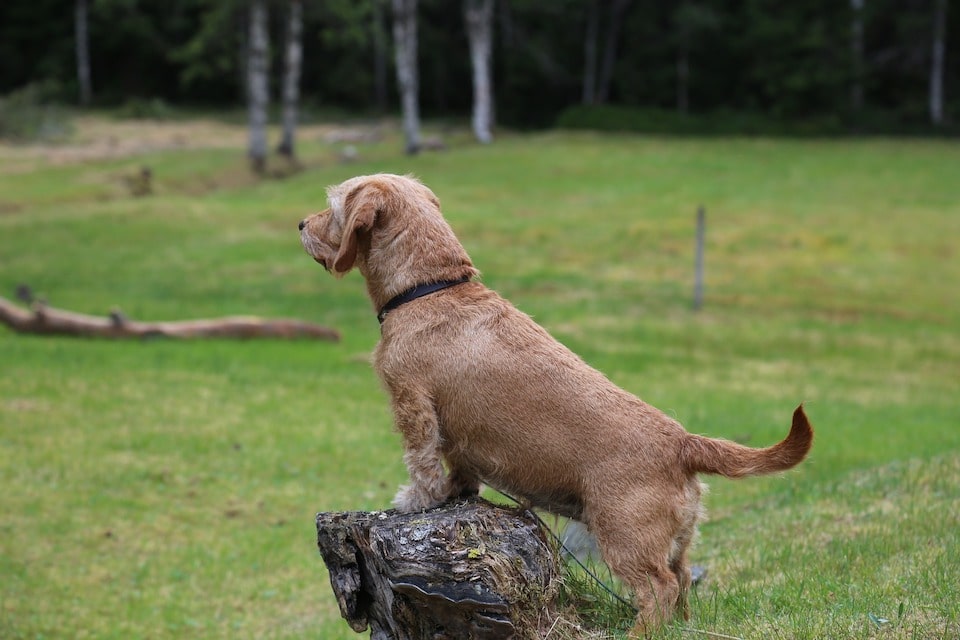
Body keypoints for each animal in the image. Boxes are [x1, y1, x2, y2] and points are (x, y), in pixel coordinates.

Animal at [298, 172, 808, 632]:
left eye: (334, 204)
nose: (301, 223)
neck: (431, 287)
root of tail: (683, 442)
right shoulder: (456, 439)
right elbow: (459, 469)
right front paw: (454, 493)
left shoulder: (412, 403)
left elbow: (420, 461)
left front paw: (415, 500)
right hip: (678, 538)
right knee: (682, 580)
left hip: (625, 538)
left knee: (657, 589)